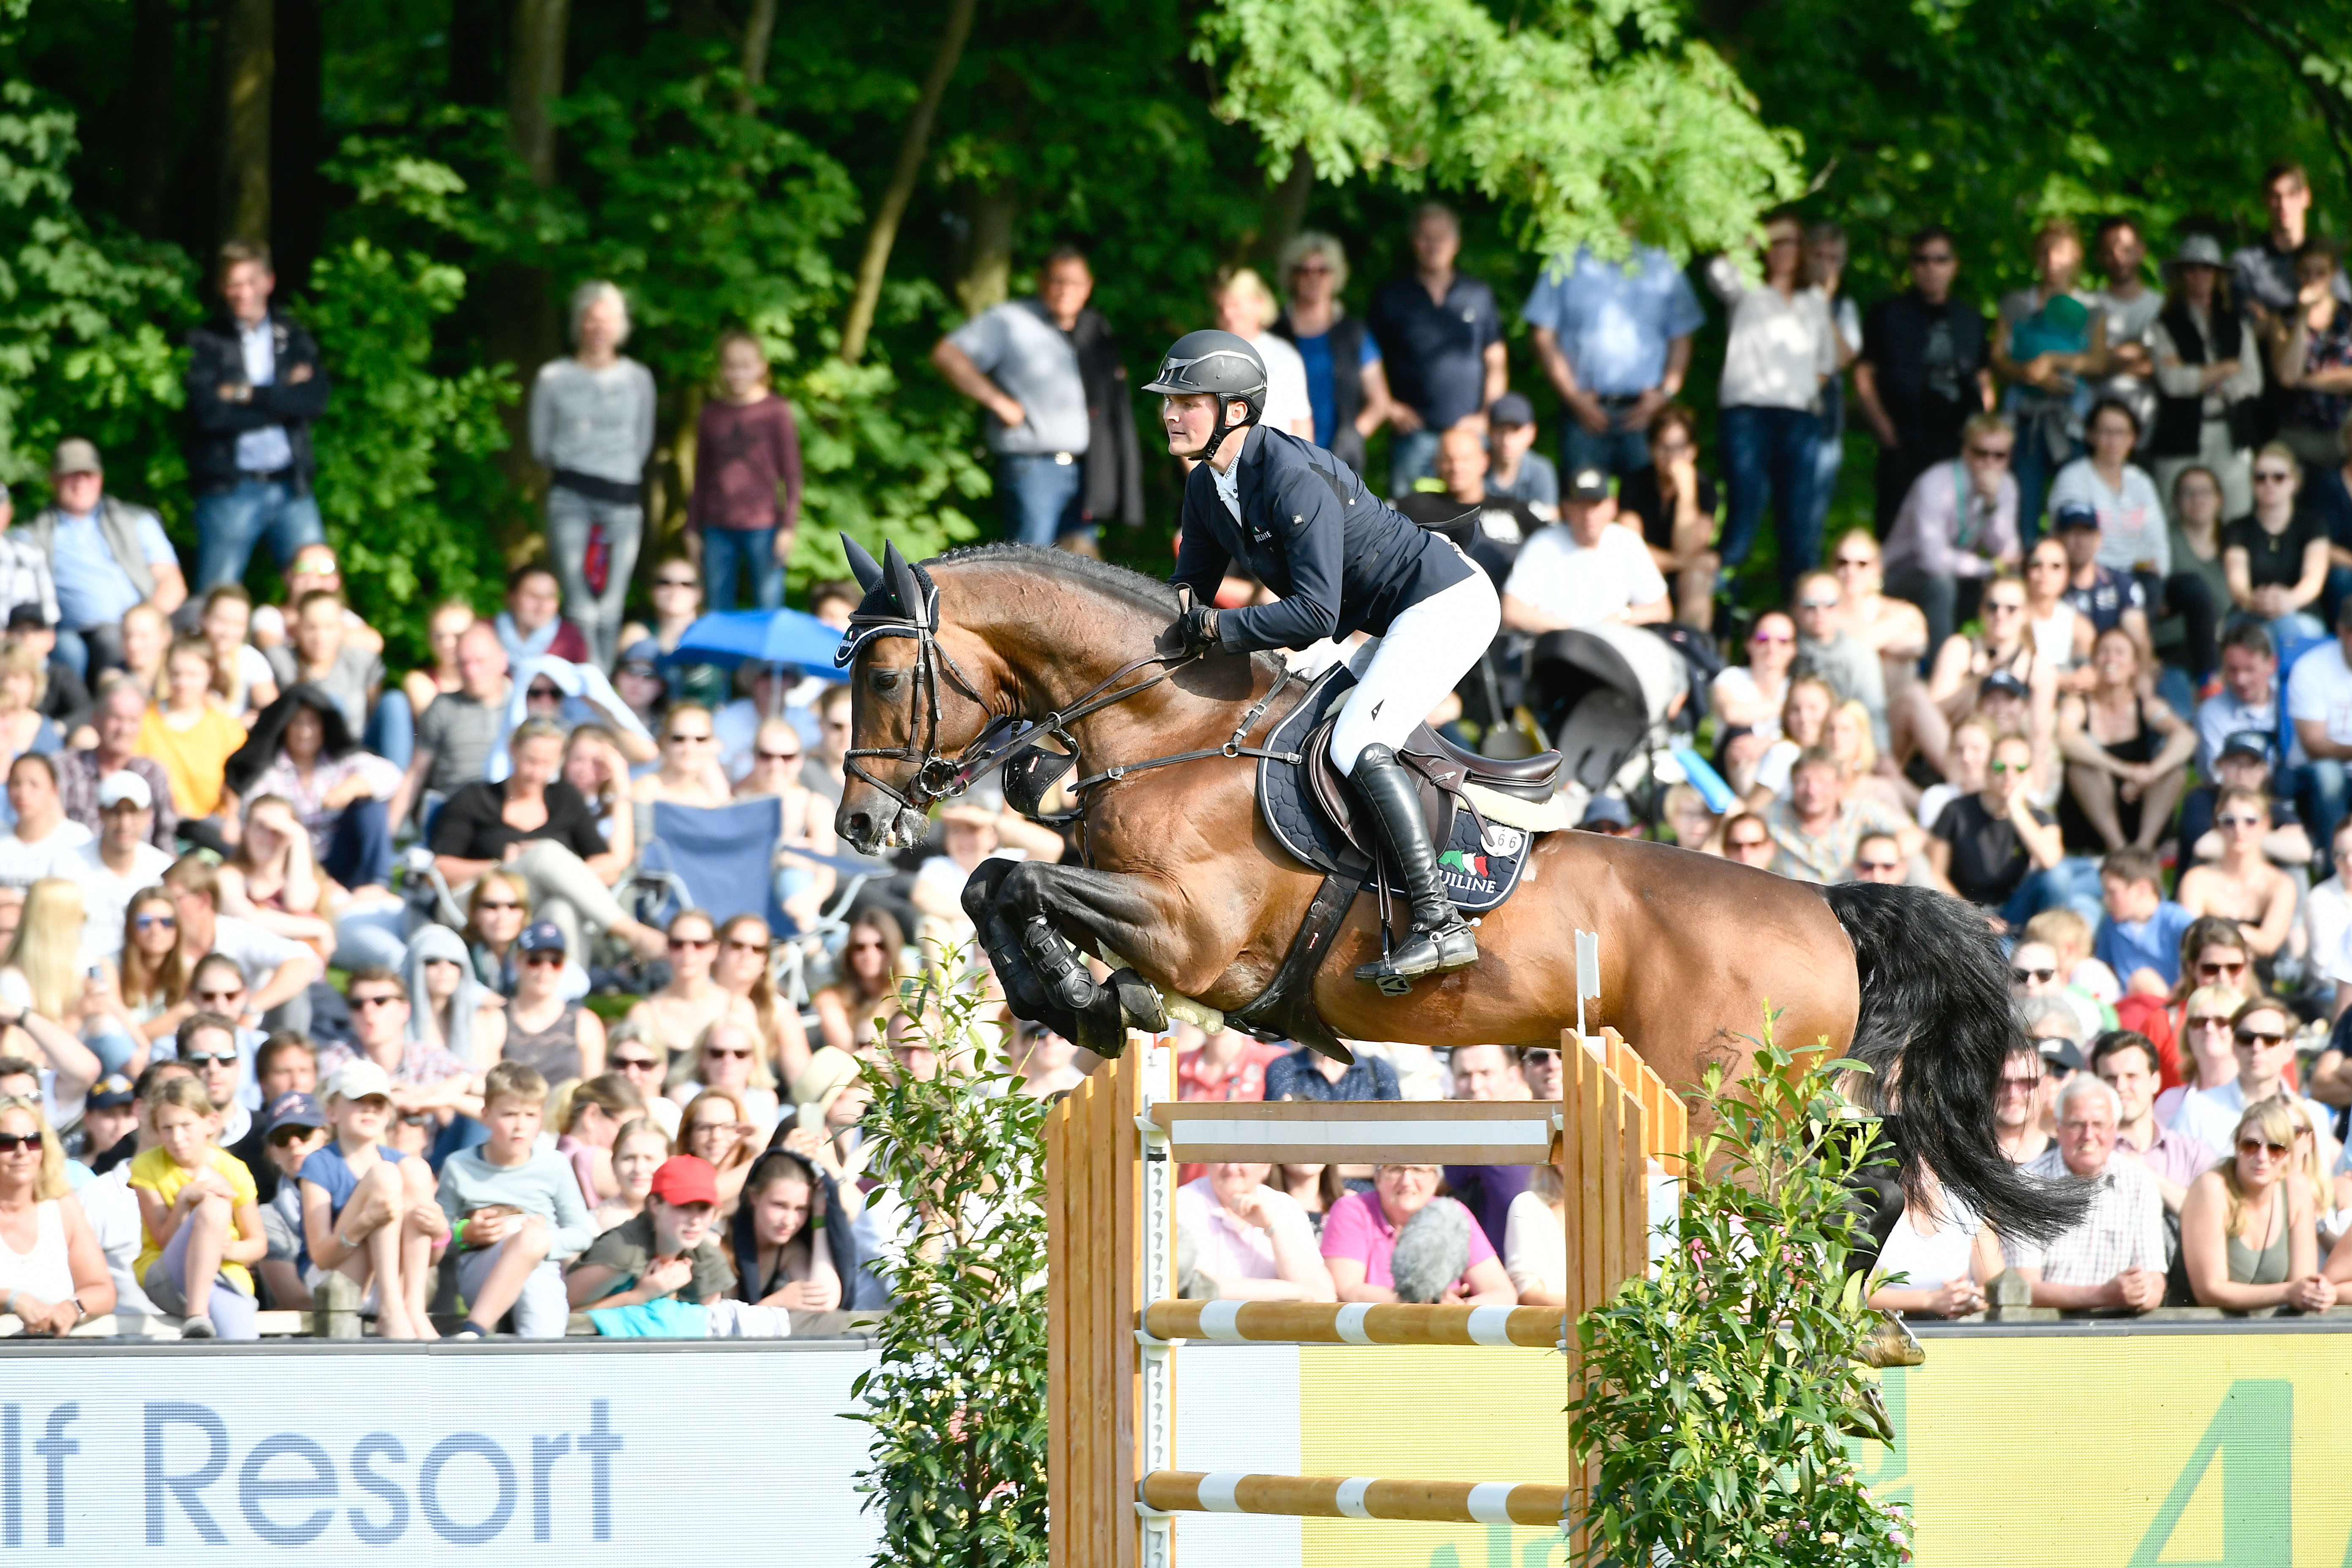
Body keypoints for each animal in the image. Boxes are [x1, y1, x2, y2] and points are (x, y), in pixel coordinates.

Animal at [842, 545, 2079, 1241]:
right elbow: (996, 886)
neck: (1168, 727)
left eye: (887, 675)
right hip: (1746, 1104)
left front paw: (1087, 1000)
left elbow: (1013, 879)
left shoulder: (1189, 936)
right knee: (1869, 1174)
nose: (861, 824)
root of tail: (1825, 905)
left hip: (1721, 1111)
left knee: (1849, 1194)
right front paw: (1081, 1002)